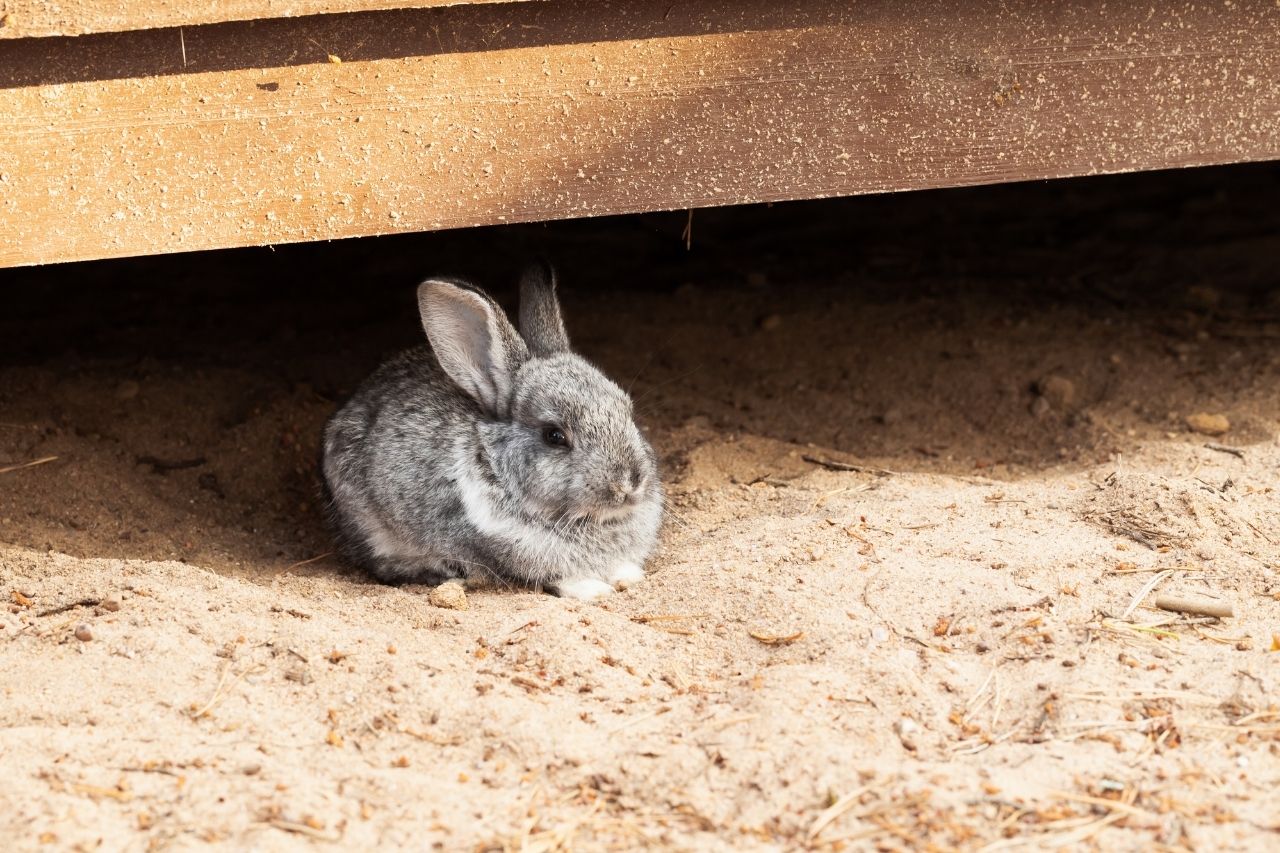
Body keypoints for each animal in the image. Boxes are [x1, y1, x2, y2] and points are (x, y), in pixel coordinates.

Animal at [321, 262, 663, 600]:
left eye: (628, 411)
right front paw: (594, 590)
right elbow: (556, 575)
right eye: (554, 435)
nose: (630, 483)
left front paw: (627, 575)